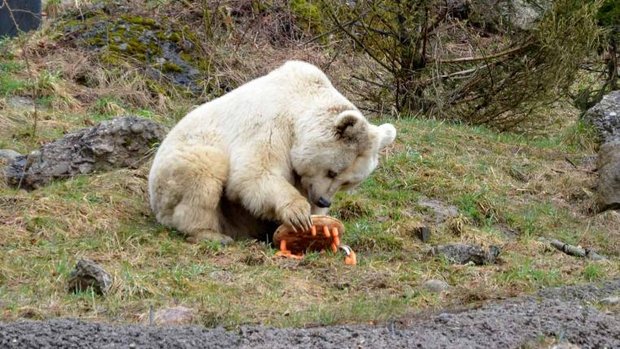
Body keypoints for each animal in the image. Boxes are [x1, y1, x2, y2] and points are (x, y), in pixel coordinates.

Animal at [148, 60, 394, 242]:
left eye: (347, 183)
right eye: (332, 171)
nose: (324, 201)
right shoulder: (270, 124)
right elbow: (255, 172)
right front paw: (298, 214)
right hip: (174, 171)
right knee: (203, 171)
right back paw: (210, 234)